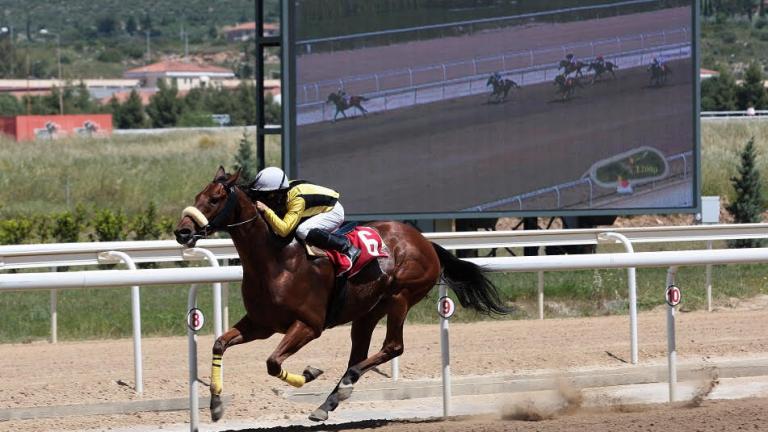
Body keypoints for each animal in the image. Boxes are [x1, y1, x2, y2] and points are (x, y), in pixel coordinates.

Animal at [174, 168, 510, 422]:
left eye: (215, 199)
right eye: (196, 197)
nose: (182, 231)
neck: (275, 260)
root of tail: (424, 241)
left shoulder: (309, 325)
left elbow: (272, 362)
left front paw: (310, 373)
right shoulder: (261, 324)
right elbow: (219, 343)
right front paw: (216, 404)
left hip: (400, 296)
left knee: (392, 347)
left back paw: (345, 384)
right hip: (368, 310)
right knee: (360, 353)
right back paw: (330, 401)